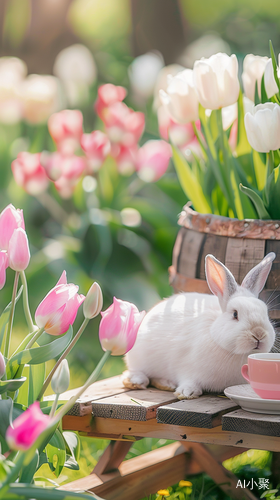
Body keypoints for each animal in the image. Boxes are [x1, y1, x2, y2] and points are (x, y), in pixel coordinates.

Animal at [122, 252, 276, 400]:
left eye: (265, 313)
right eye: (235, 314)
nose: (259, 334)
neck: (233, 353)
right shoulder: (186, 368)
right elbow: (188, 380)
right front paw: (187, 392)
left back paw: (167, 384)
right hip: (138, 356)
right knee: (138, 371)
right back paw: (136, 381)